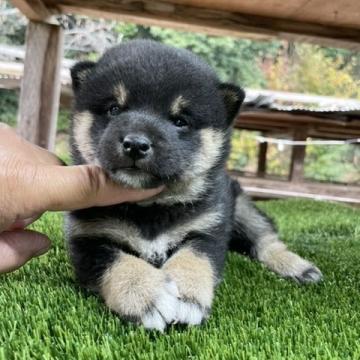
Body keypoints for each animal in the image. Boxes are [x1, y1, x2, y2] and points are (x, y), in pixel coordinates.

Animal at [66, 40, 322, 332]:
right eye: (114, 109)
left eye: (180, 121)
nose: (136, 144)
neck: (150, 208)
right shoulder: (87, 238)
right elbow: (117, 262)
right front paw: (145, 295)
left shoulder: (208, 229)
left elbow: (194, 258)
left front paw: (187, 296)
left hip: (243, 208)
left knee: (266, 240)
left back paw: (296, 266)